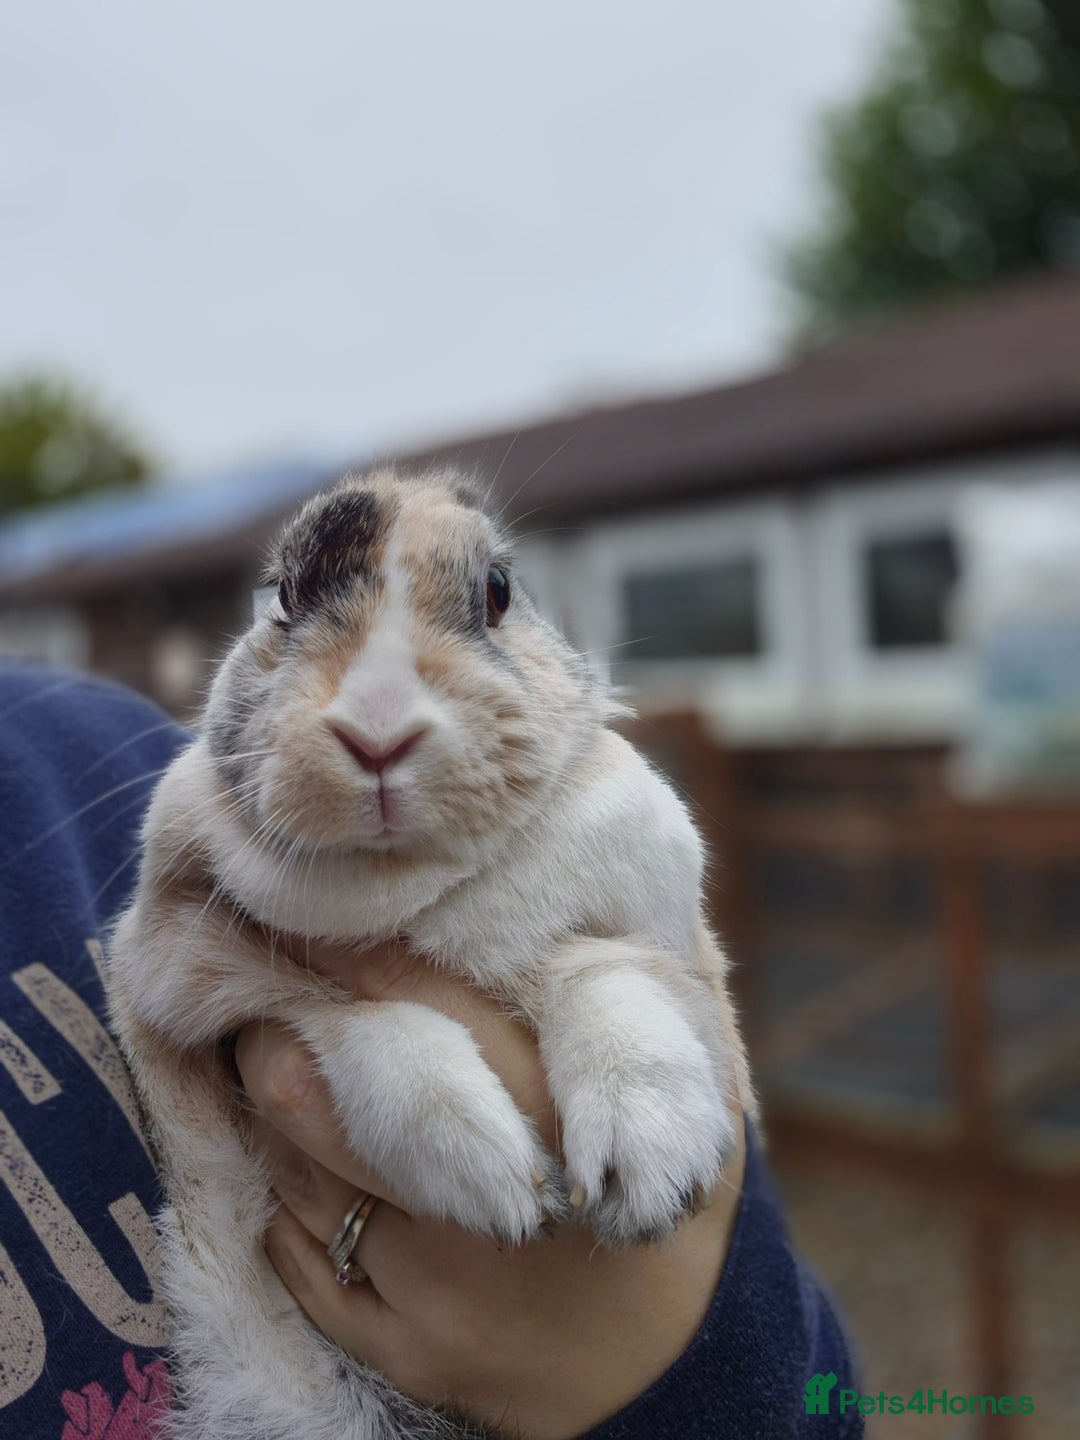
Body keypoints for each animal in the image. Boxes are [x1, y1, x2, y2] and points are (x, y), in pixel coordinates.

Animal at [106, 466, 754, 1440]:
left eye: (498, 590)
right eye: (284, 597)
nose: (378, 732)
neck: (412, 891)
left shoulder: (654, 919)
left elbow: (592, 967)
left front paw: (651, 1174)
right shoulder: (182, 979)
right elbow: (351, 1016)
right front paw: (495, 1178)